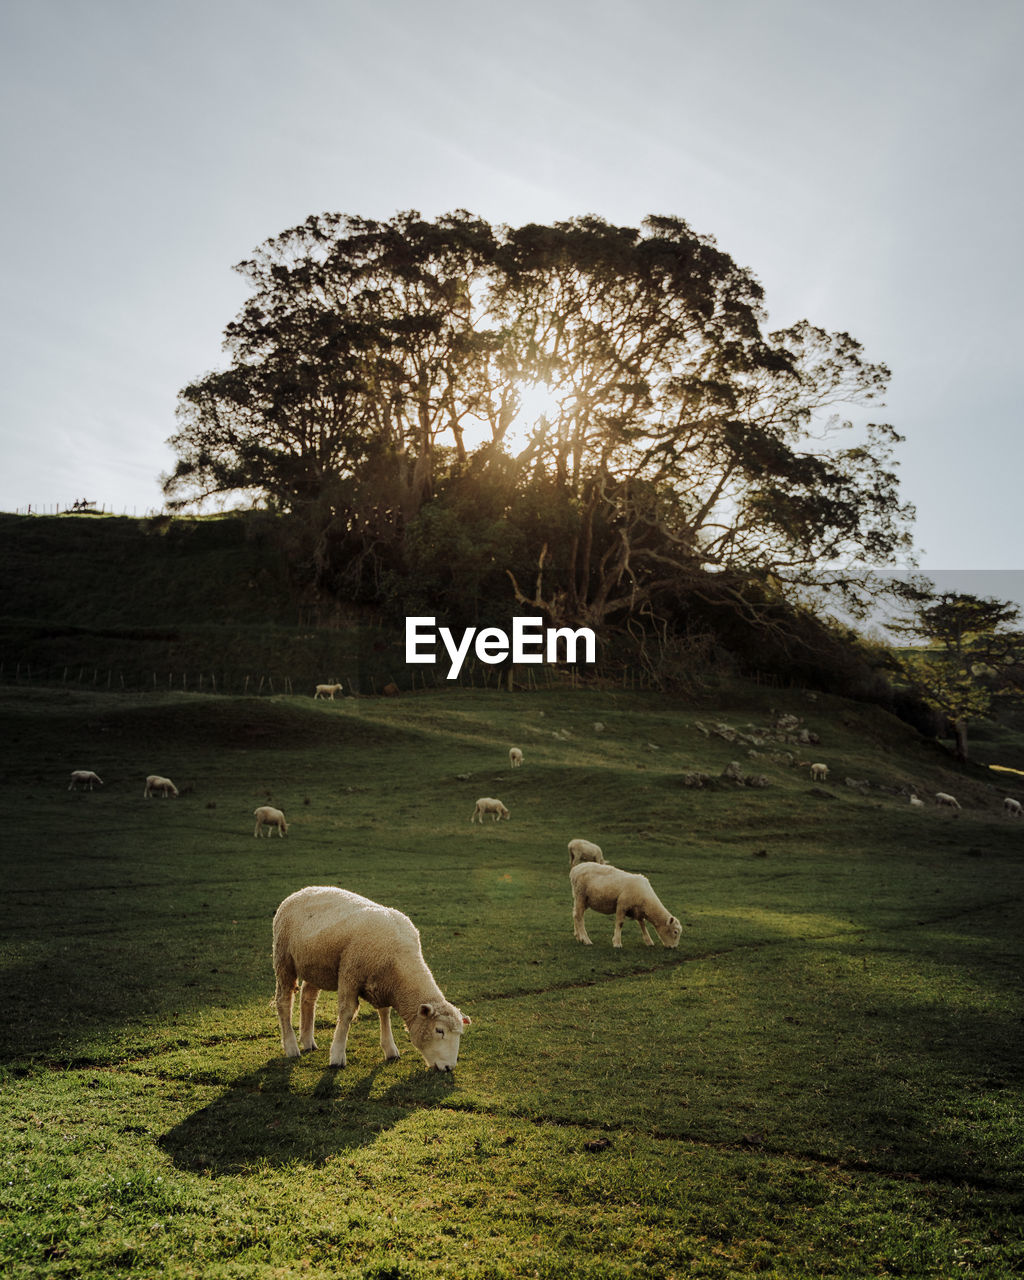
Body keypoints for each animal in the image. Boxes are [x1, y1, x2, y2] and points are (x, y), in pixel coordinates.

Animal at [267, 880, 468, 1070]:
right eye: (439, 1030)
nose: (449, 1067)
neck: (400, 963)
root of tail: (300, 892)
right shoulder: (350, 973)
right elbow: (347, 1013)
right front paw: (337, 1056)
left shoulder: (383, 983)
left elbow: (384, 1012)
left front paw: (390, 1049)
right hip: (284, 959)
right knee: (284, 1001)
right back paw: (291, 1047)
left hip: (315, 966)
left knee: (308, 997)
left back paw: (308, 1041)